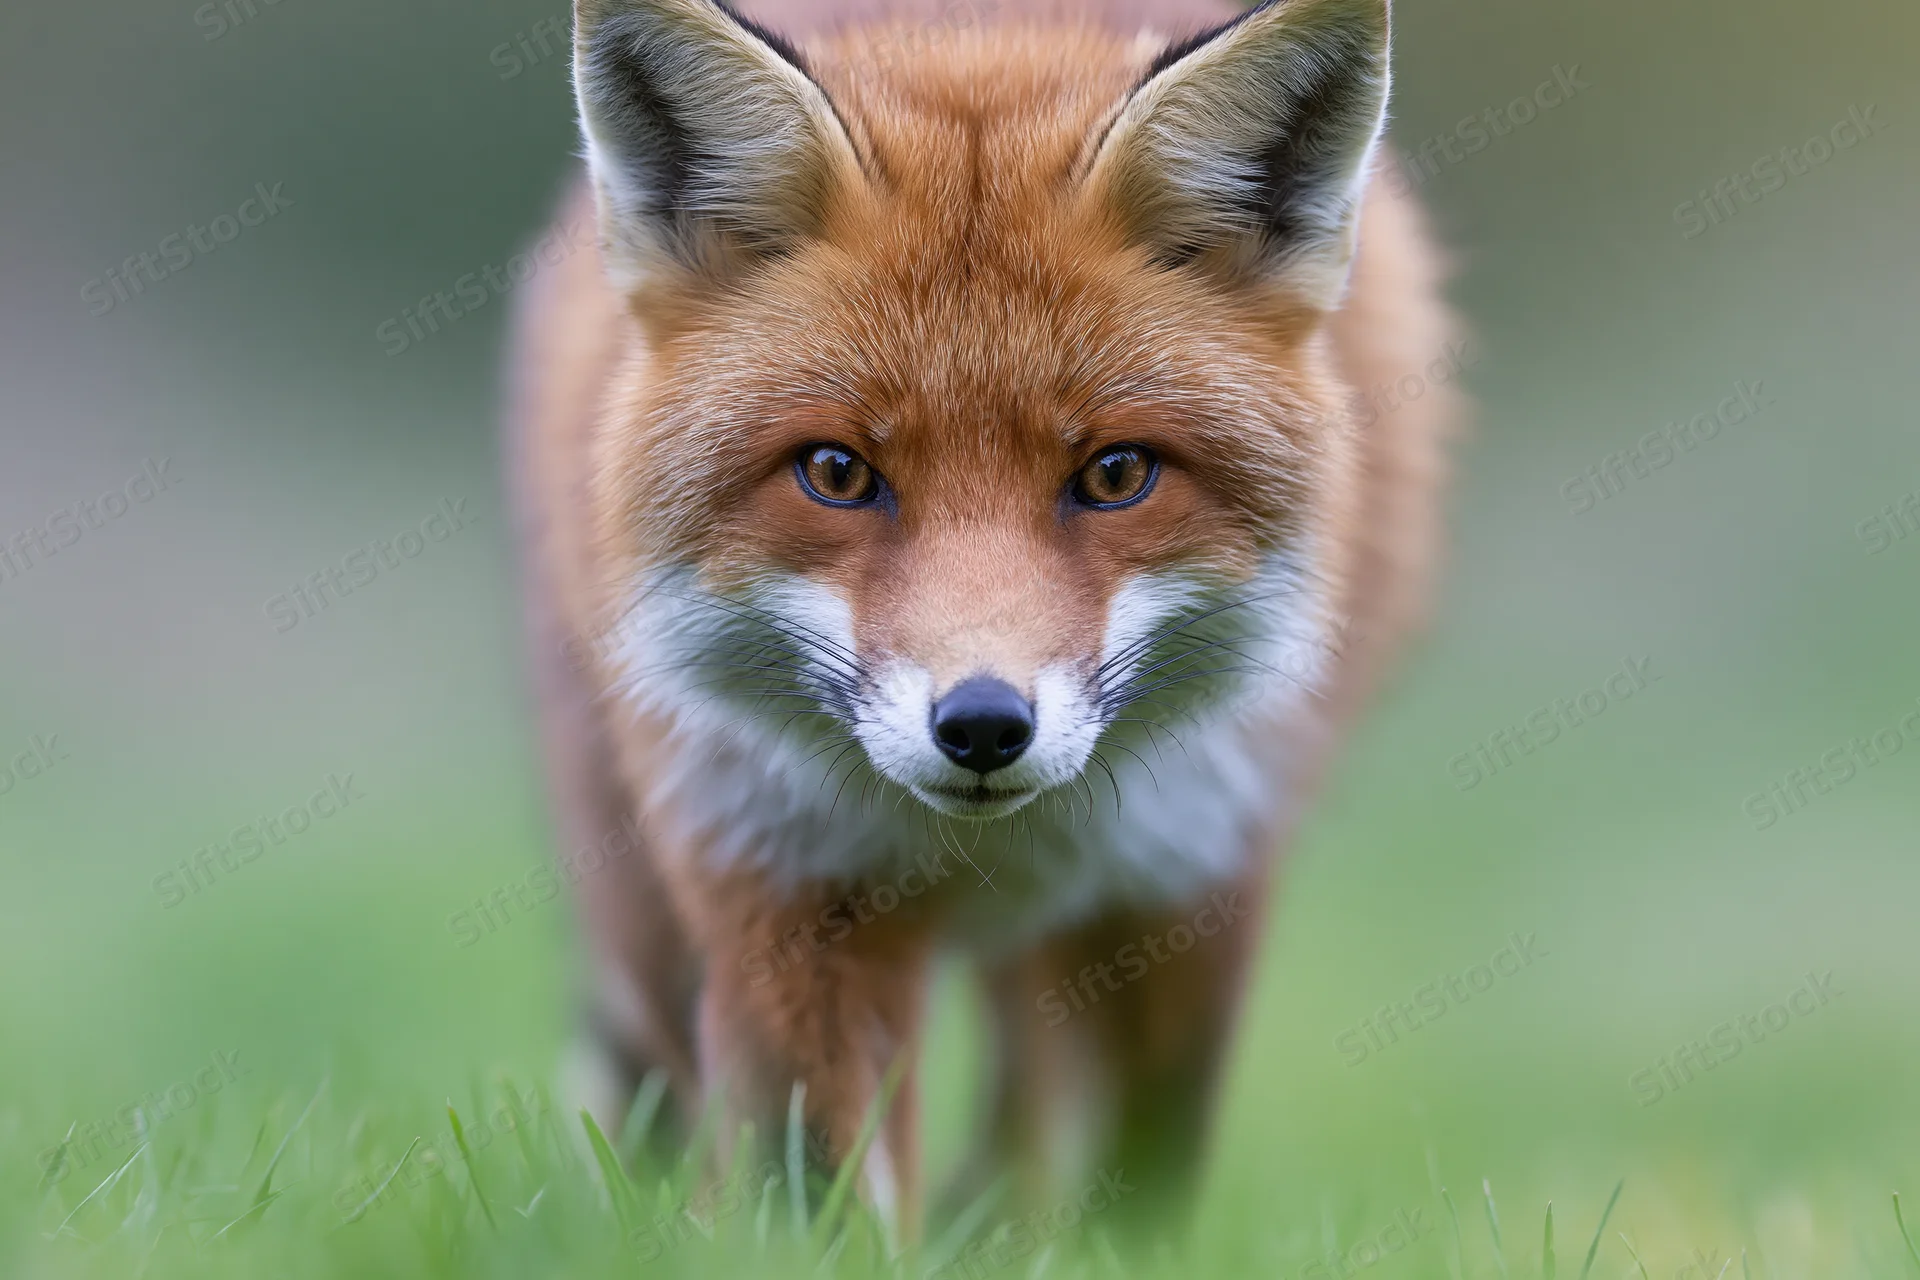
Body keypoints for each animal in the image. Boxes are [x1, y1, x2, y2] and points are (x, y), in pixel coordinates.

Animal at [505, 0, 1458, 1241]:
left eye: (1115, 474)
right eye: (835, 472)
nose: (984, 725)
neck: (996, 846)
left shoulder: (1187, 875)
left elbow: (1135, 1184)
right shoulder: (779, 874)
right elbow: (817, 1187)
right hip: (634, 870)